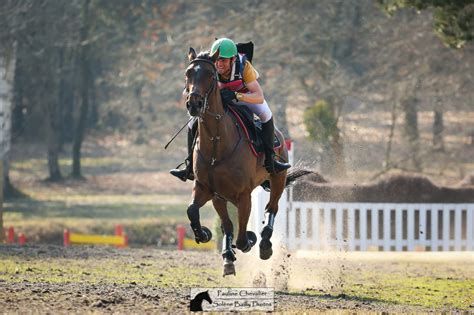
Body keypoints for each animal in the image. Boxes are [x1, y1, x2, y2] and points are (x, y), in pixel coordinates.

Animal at [182, 47, 312, 276]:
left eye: (210, 75)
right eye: (188, 74)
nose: (193, 104)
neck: (217, 143)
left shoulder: (243, 195)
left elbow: (243, 238)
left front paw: (250, 239)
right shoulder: (206, 188)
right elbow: (194, 211)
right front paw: (205, 235)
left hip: (277, 178)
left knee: (272, 208)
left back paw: (265, 244)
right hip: (220, 197)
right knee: (228, 224)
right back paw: (228, 255)